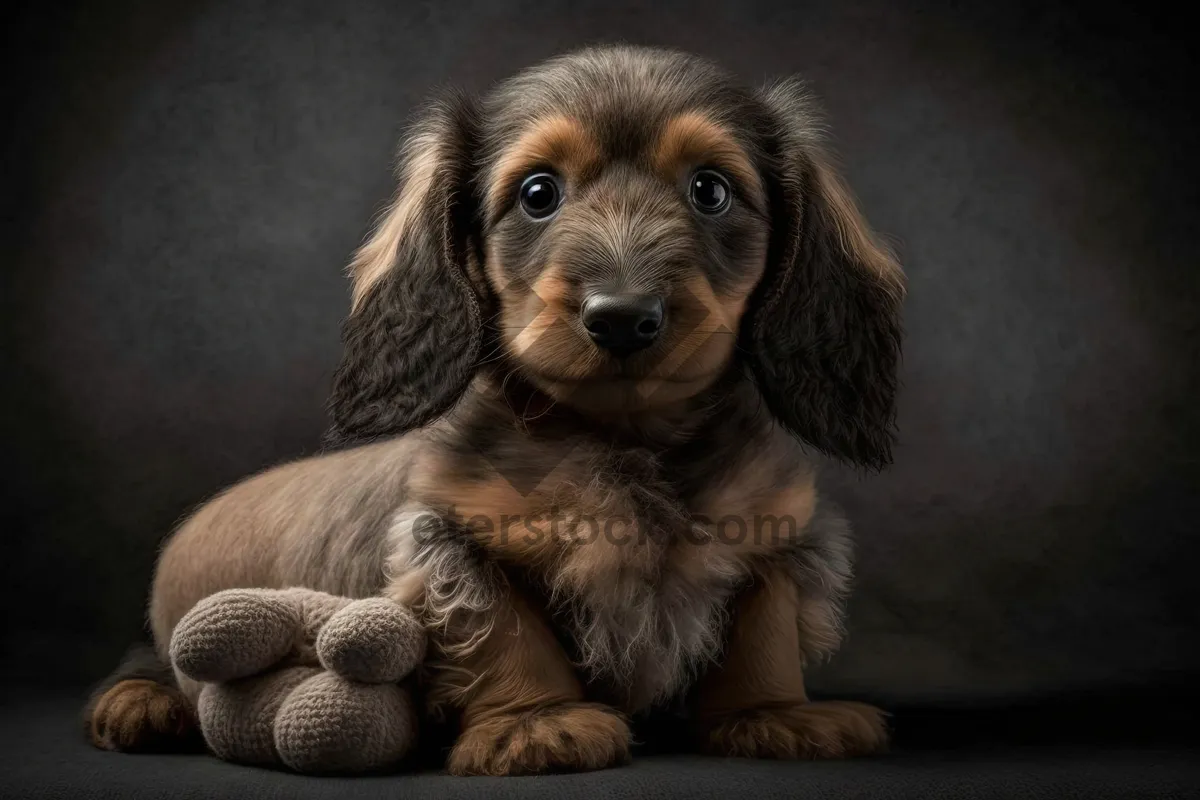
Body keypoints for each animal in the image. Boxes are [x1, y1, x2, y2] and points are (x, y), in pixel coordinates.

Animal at [87, 45, 907, 777]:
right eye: (538, 193)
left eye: (711, 190)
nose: (622, 317)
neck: (625, 442)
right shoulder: (455, 540)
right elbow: (505, 632)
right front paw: (535, 724)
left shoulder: (779, 534)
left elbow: (763, 630)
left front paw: (774, 714)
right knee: (151, 661)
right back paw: (140, 701)